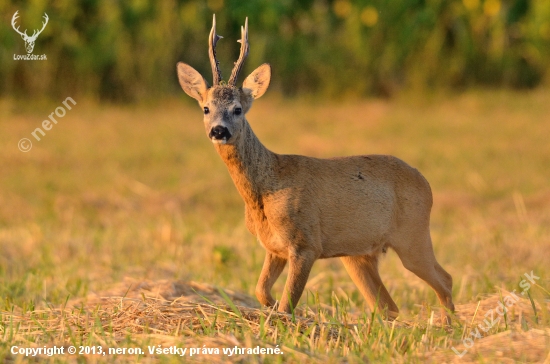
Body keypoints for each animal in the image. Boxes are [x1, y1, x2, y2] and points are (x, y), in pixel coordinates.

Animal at [177, 15, 458, 324]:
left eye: (237, 109)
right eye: (205, 108)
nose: (219, 130)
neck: (267, 186)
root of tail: (425, 181)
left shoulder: (306, 242)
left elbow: (289, 302)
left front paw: (288, 319)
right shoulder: (274, 247)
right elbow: (261, 290)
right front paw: (275, 309)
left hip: (413, 233)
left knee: (445, 279)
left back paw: (449, 327)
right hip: (358, 255)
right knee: (388, 305)